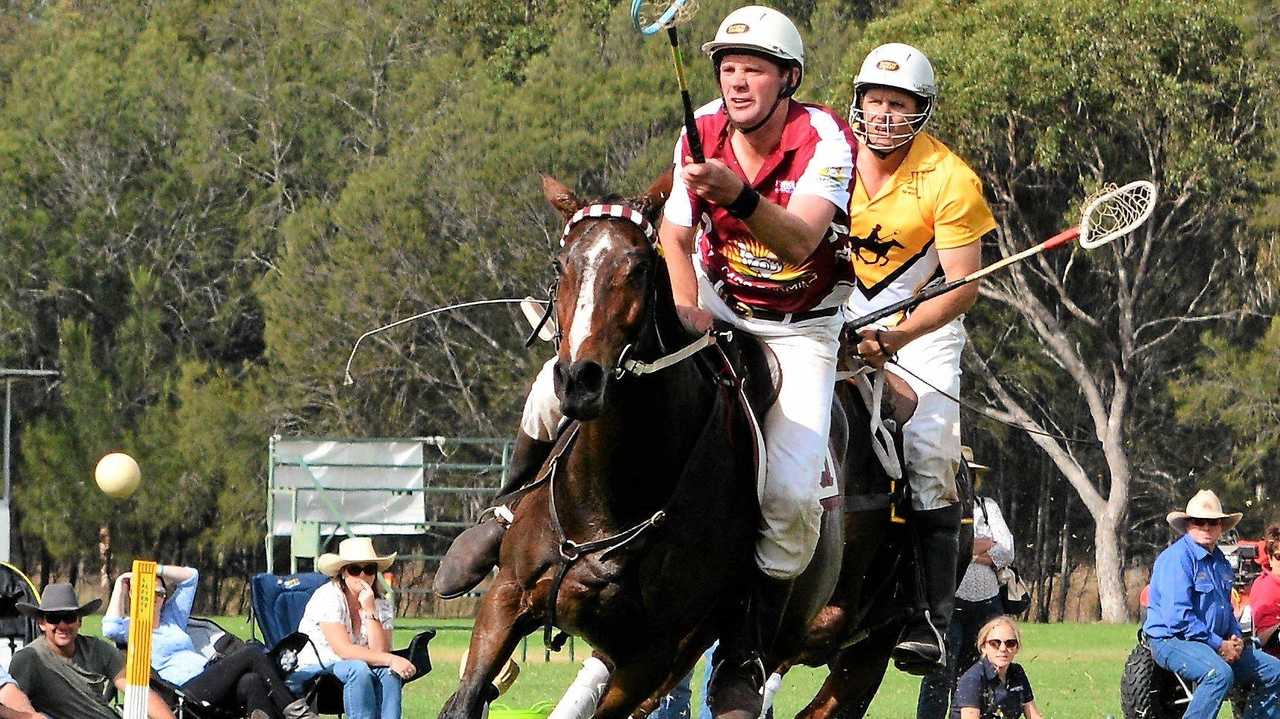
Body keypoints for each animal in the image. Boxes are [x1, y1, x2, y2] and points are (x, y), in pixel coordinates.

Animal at [440, 170, 762, 716]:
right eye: (561, 263)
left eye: (639, 266)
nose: (579, 380)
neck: (603, 500)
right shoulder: (505, 598)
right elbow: (467, 696)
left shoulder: (650, 655)